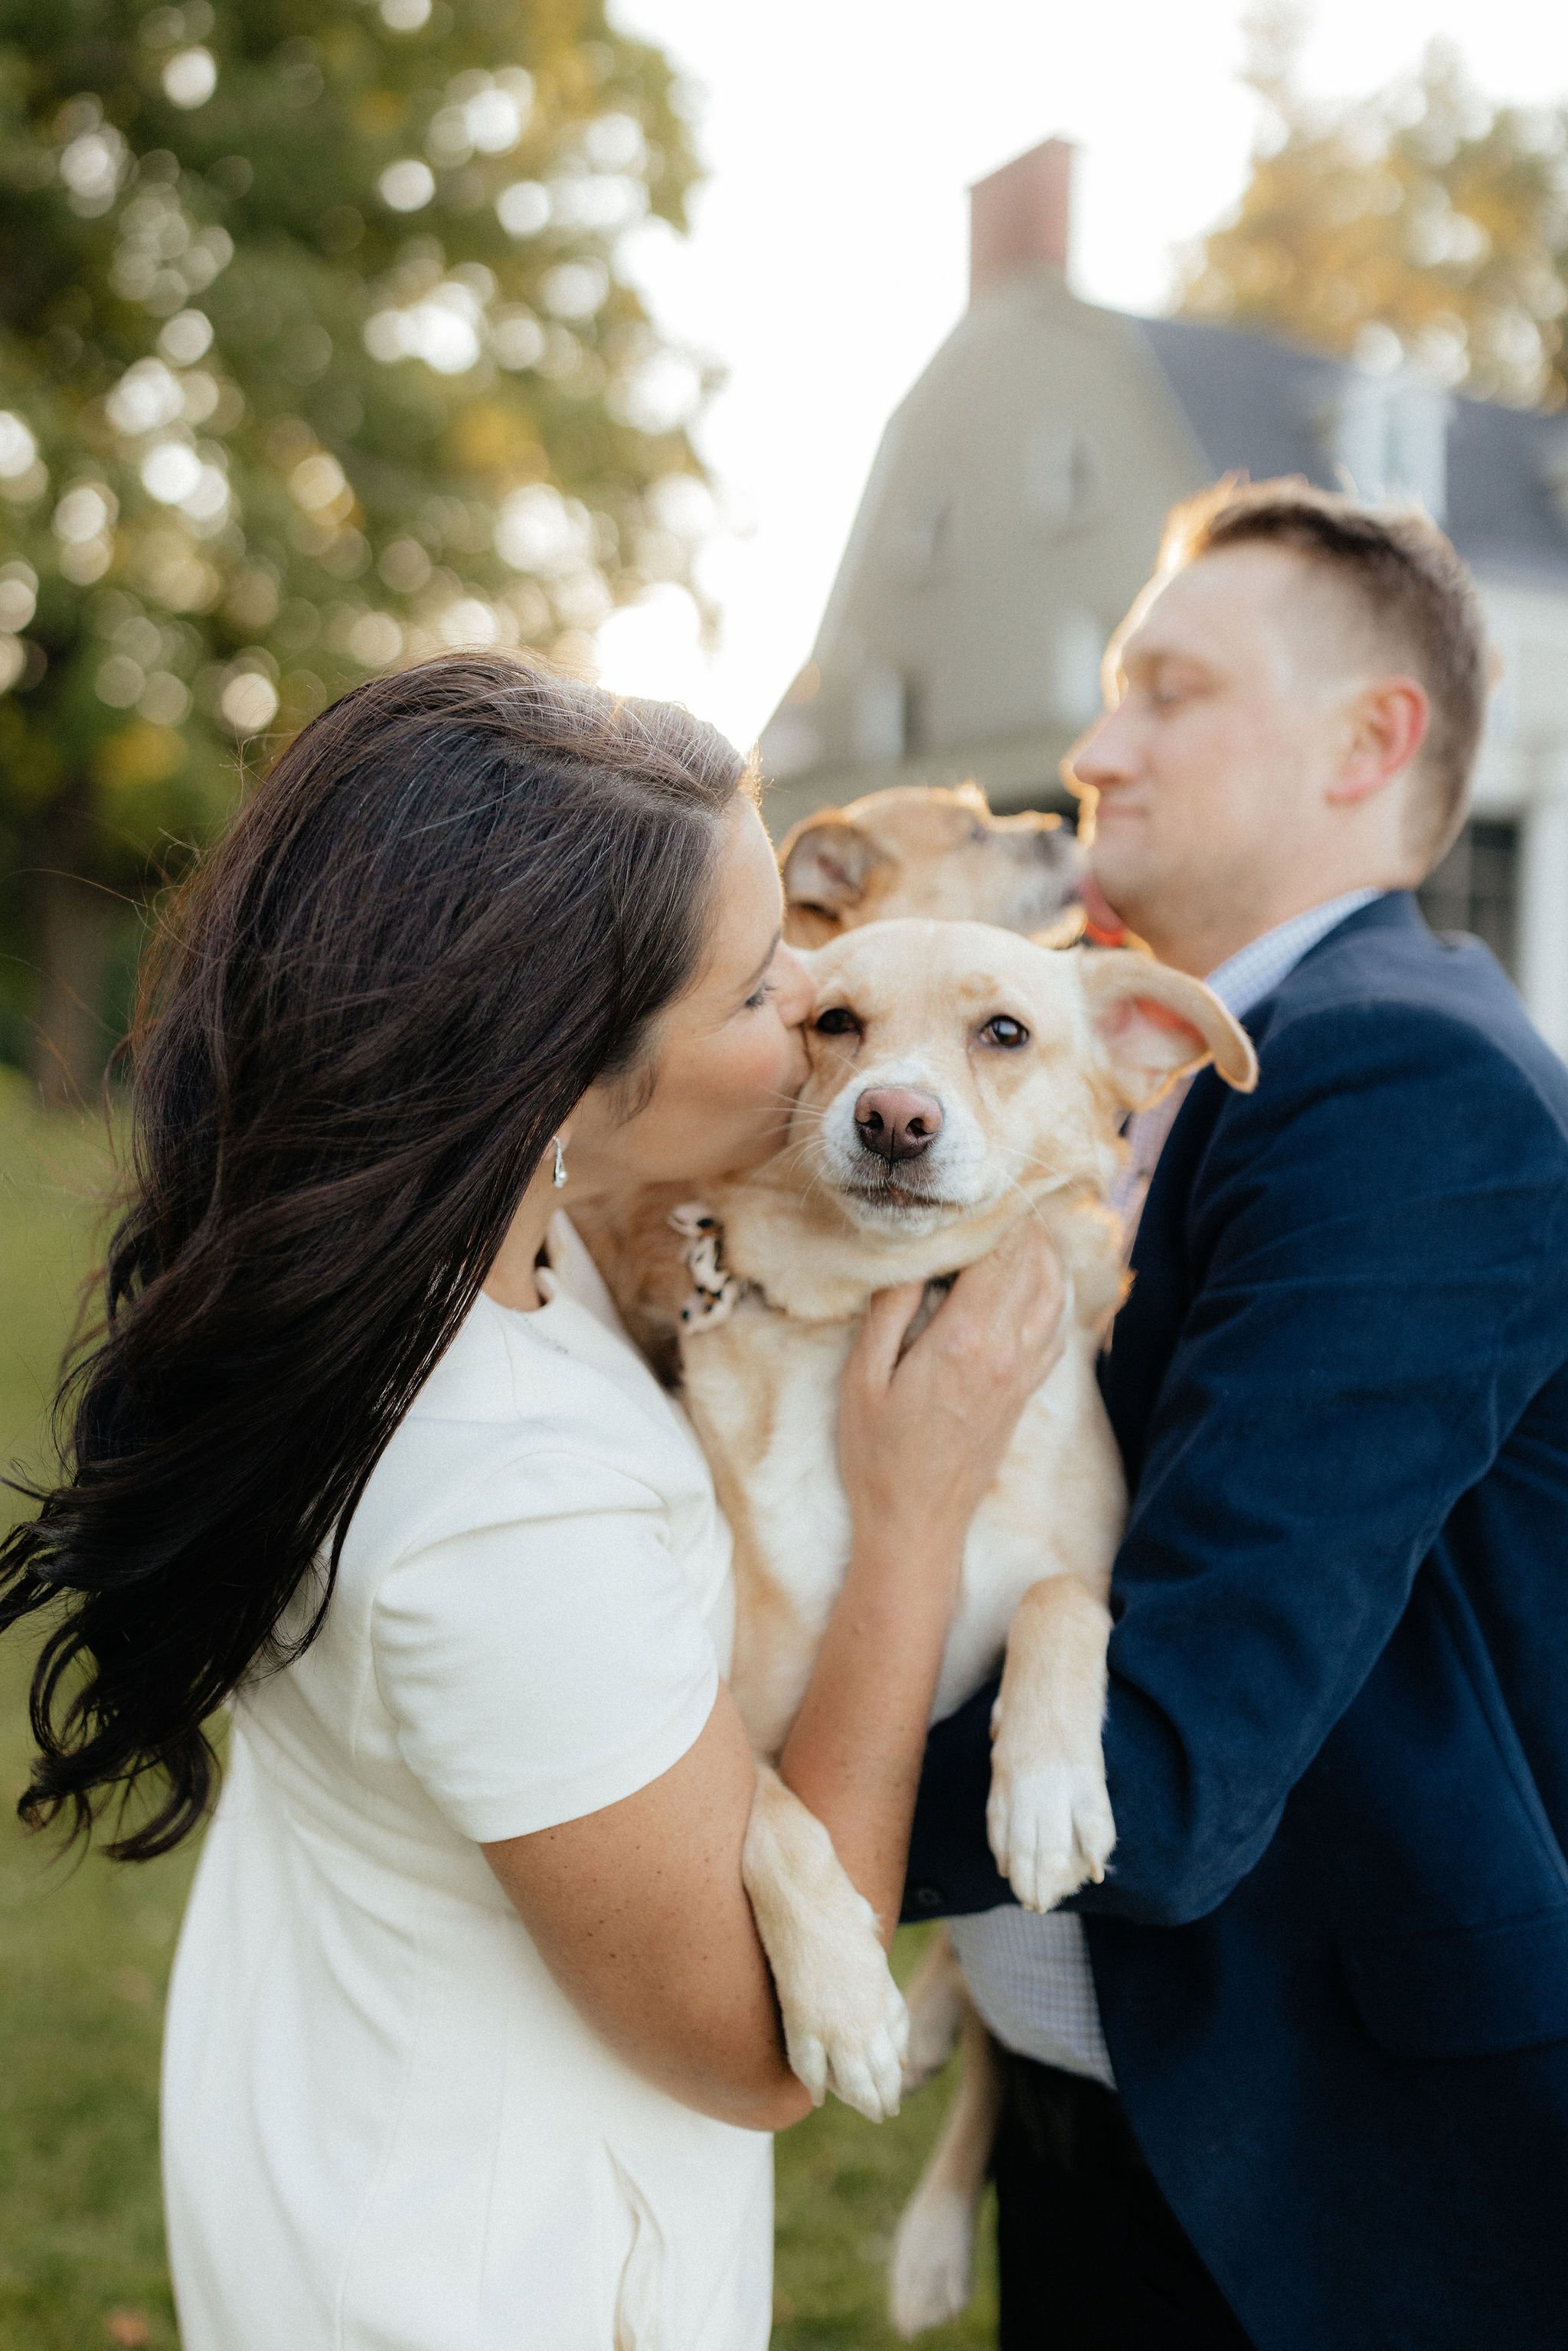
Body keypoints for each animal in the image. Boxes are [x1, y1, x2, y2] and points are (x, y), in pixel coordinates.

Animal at [668, 916, 1259, 2181]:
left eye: (1004, 1032)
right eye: (834, 1022)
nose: (894, 1116)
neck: (884, 1307)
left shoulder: (1088, 1570)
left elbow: (1057, 1598)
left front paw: (1043, 1789)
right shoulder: (739, 1719)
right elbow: (771, 1820)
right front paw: (843, 2000)